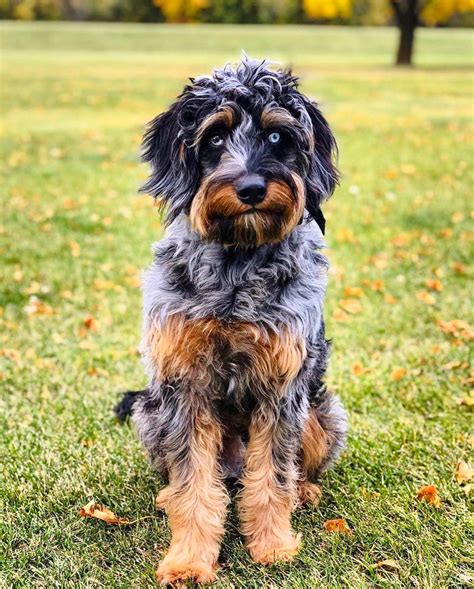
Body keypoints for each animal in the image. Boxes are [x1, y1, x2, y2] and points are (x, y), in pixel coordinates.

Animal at [117, 57, 348, 584]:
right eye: (216, 137)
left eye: (278, 136)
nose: (251, 189)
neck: (237, 270)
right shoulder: (184, 387)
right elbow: (194, 486)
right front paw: (188, 559)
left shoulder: (281, 389)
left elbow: (273, 477)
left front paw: (274, 545)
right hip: (149, 413)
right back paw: (167, 496)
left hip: (324, 413)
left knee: (288, 469)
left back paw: (304, 492)